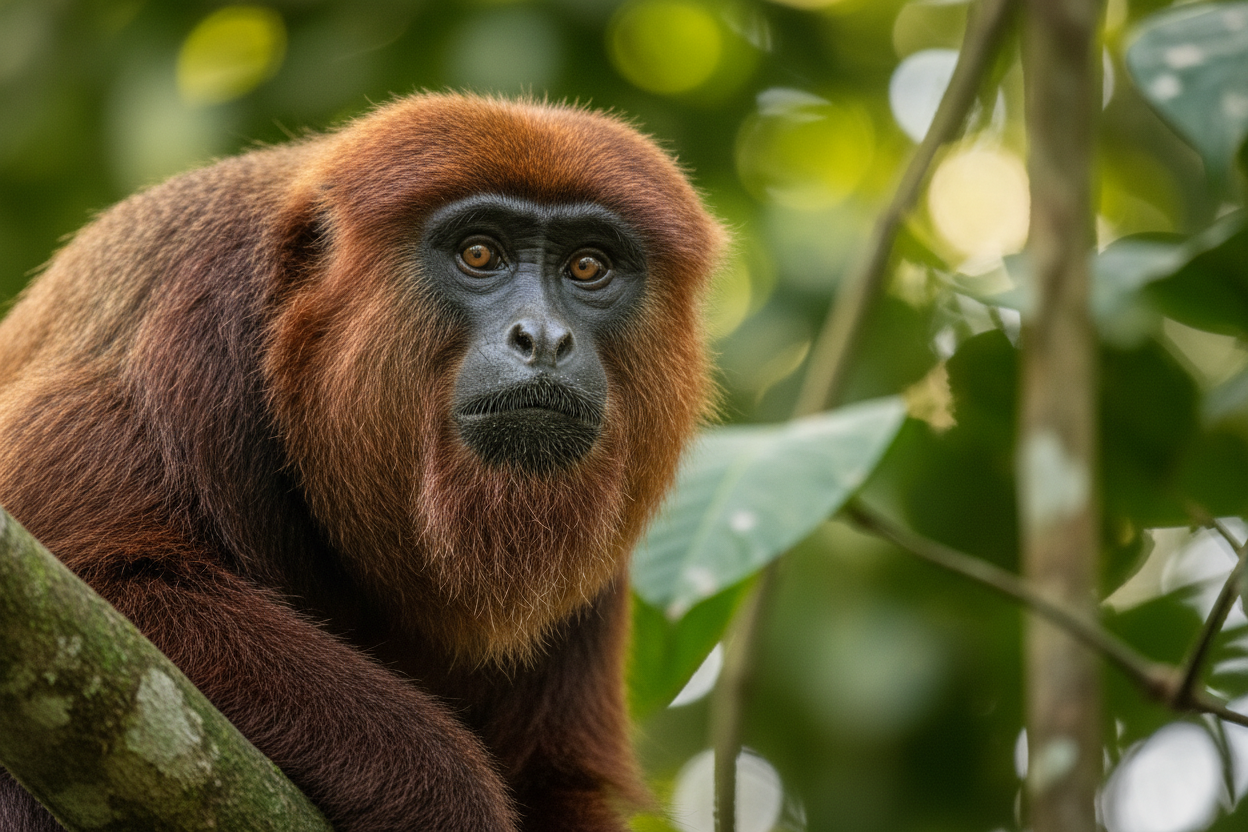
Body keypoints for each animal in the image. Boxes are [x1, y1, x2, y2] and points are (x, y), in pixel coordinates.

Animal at [0, 93, 724, 831]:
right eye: (480, 253)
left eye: (587, 267)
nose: (544, 338)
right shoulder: (186, 330)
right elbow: (97, 576)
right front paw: (443, 796)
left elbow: (556, 776)